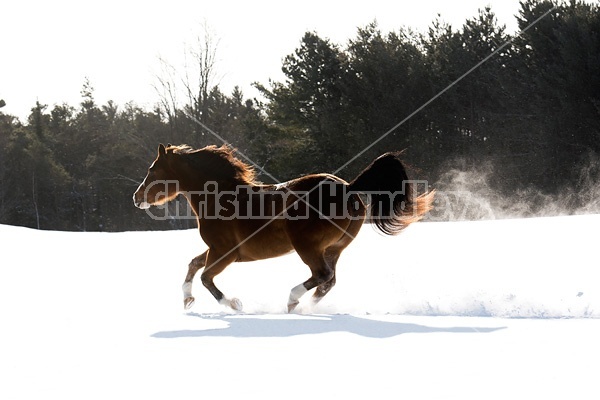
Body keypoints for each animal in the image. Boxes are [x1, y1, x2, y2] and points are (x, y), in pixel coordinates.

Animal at [132, 144, 436, 312]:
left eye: (153, 170)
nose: (136, 197)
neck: (220, 196)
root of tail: (349, 188)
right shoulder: (217, 250)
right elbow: (193, 265)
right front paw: (187, 300)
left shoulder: (225, 252)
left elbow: (206, 277)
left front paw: (234, 304)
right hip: (334, 248)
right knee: (328, 281)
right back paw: (304, 307)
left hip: (307, 246)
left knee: (321, 275)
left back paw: (291, 301)